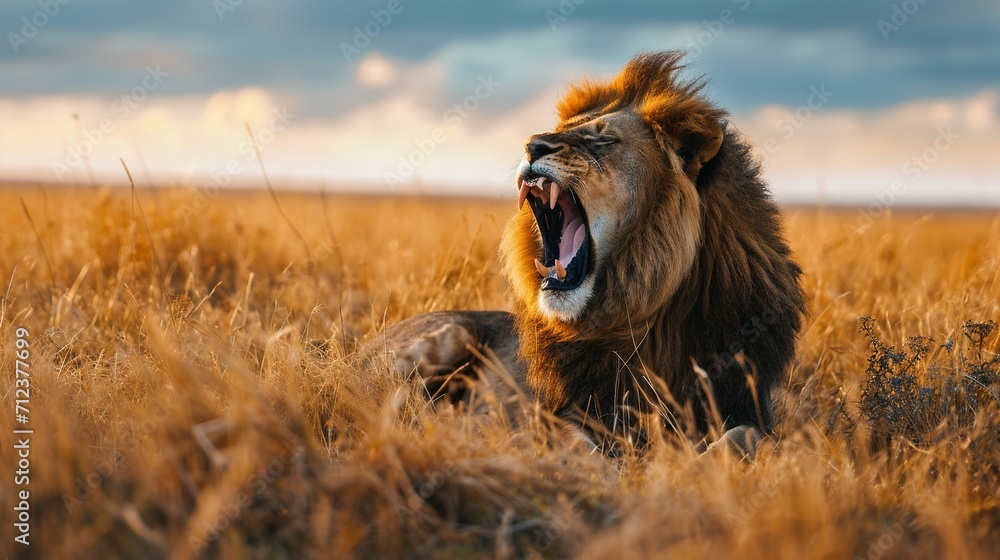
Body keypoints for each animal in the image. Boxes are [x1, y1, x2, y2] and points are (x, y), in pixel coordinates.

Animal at [370, 52, 806, 456]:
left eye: (604, 140)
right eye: (561, 131)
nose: (532, 144)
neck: (648, 317)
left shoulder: (744, 403)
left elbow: (745, 437)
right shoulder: (563, 411)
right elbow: (579, 445)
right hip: (449, 335)